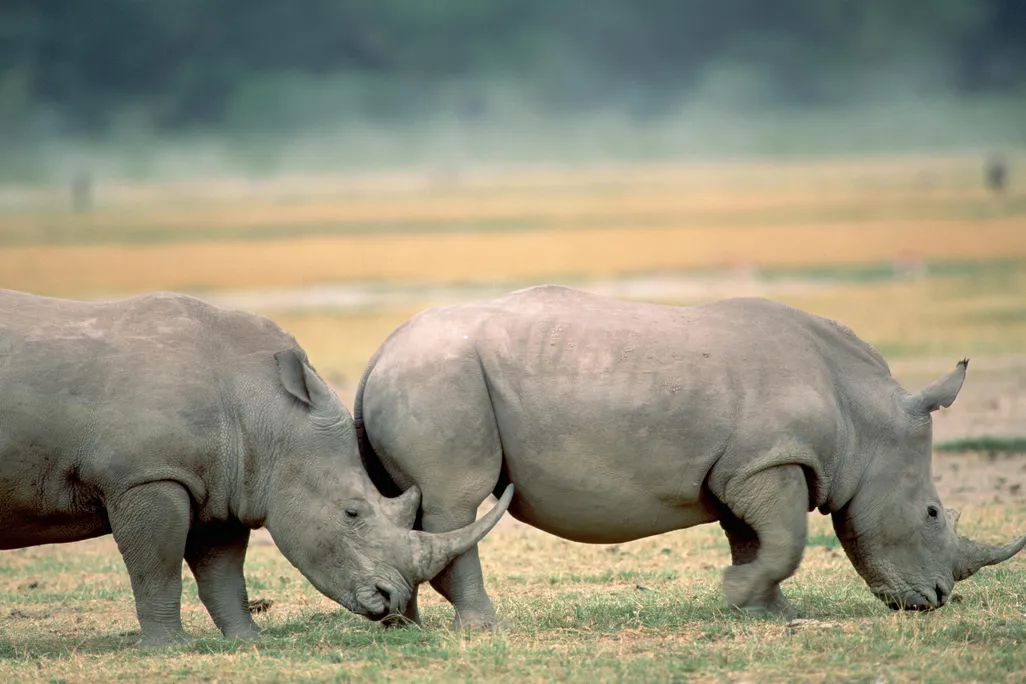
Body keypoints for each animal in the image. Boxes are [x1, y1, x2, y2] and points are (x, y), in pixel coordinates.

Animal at [0, 288, 512, 645]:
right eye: (352, 512)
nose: (393, 599)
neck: (265, 411)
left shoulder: (221, 483)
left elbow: (223, 573)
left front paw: (248, 641)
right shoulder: (146, 476)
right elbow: (156, 567)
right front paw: (169, 648)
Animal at [354, 285, 1025, 629]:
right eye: (933, 514)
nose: (935, 599)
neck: (864, 417)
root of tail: (380, 351)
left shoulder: (747, 468)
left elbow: (756, 540)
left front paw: (769, 611)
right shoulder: (773, 460)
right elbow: (786, 541)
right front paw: (737, 595)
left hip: (424, 378)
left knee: (418, 508)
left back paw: (406, 623)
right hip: (439, 379)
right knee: (457, 503)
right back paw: (486, 628)